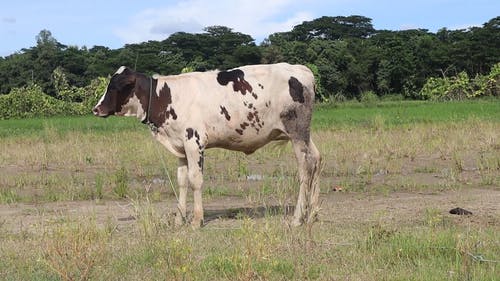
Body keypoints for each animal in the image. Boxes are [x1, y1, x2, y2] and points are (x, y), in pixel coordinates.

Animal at [92, 62, 322, 226]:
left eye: (115, 86)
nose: (96, 109)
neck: (165, 96)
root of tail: (300, 69)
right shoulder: (180, 146)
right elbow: (182, 181)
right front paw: (179, 219)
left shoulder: (194, 142)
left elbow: (195, 180)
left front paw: (196, 220)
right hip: (305, 134)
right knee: (317, 160)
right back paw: (312, 214)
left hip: (297, 133)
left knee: (305, 169)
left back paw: (297, 218)